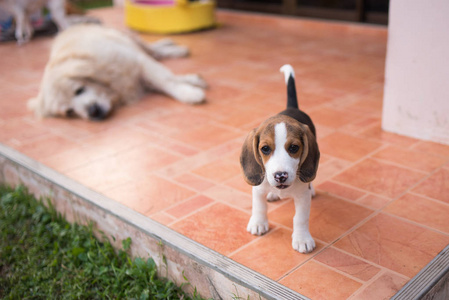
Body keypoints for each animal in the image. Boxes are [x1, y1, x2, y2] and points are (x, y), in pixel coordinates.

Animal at [28, 24, 207, 120]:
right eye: (69, 112)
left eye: (79, 90)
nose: (93, 113)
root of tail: (68, 29)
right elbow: (167, 79)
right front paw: (191, 83)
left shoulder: (139, 61)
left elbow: (166, 80)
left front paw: (188, 94)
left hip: (127, 38)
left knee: (153, 49)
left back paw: (174, 47)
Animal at [238, 65, 318, 253]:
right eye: (265, 149)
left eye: (294, 148)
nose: (280, 176)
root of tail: (292, 107)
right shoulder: (258, 188)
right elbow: (259, 207)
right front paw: (258, 223)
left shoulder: (302, 197)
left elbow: (300, 218)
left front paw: (302, 239)